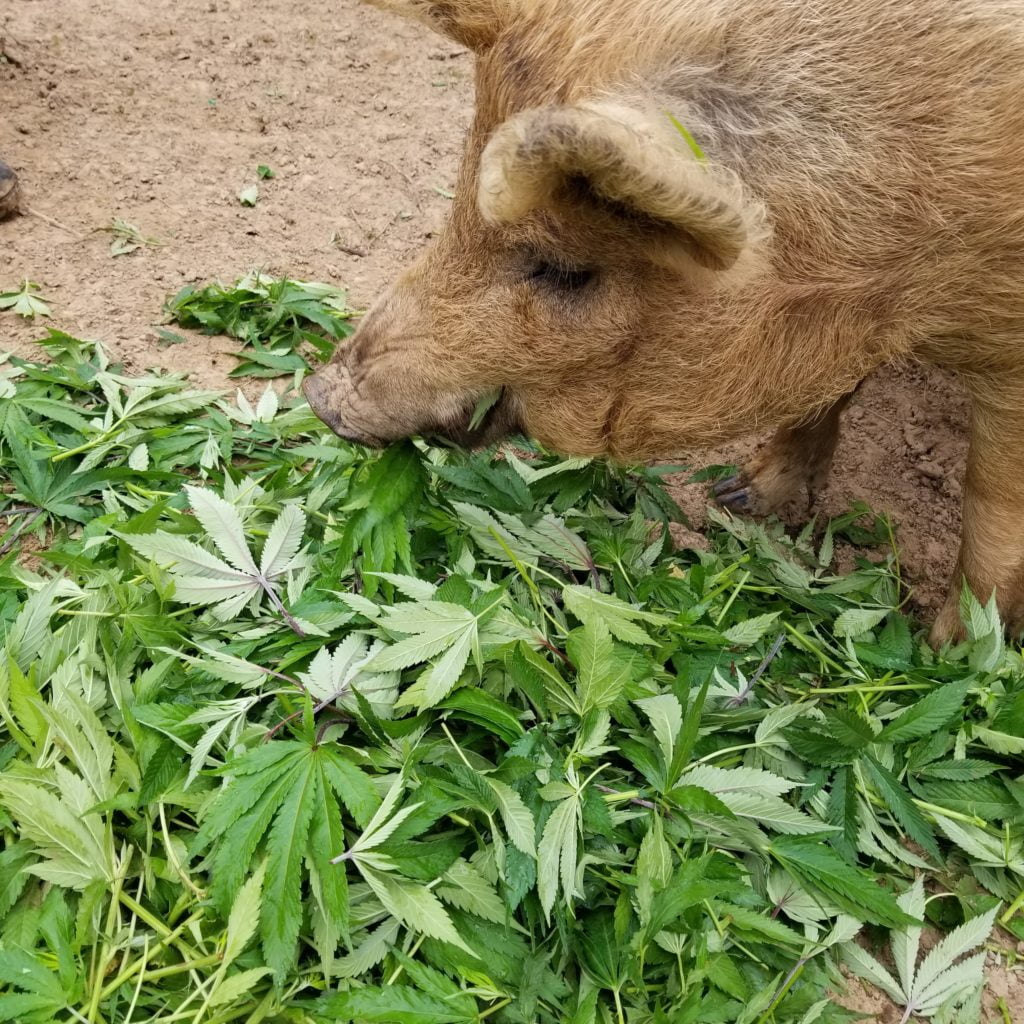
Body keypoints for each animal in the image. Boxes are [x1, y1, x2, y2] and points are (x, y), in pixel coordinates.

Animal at [303, 0, 1024, 643]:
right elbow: (826, 394)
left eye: (565, 269)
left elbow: (991, 501)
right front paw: (739, 500)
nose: (319, 395)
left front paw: (957, 652)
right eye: (457, 202)